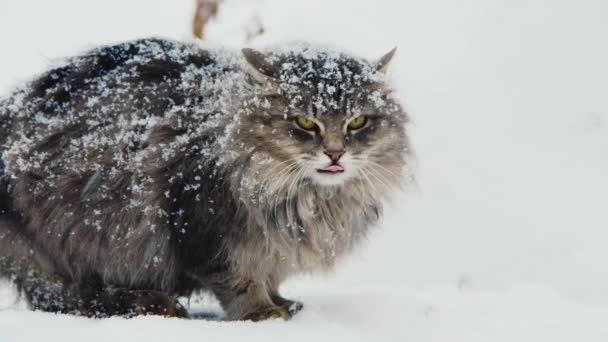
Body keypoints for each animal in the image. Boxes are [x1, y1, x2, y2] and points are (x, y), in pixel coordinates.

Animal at [0, 38, 410, 322]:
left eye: (358, 122)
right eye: (305, 122)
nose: (335, 153)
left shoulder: (271, 246)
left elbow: (271, 276)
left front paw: (283, 303)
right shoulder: (207, 227)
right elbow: (239, 280)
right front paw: (262, 313)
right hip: (40, 247)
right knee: (64, 296)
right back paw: (150, 303)